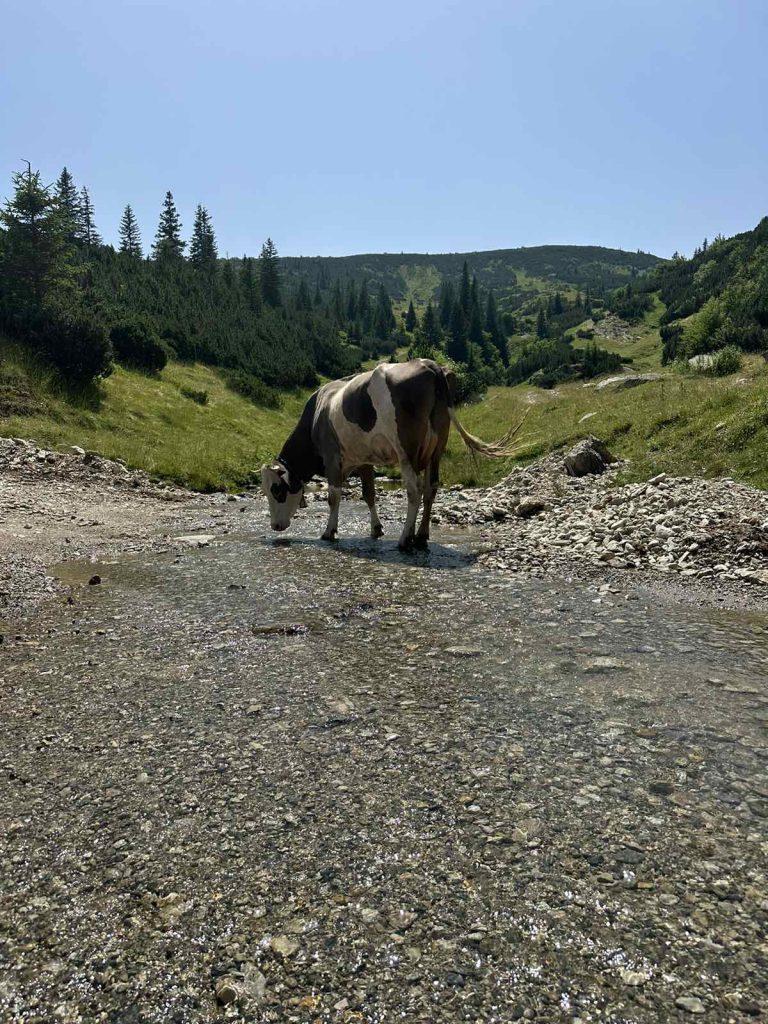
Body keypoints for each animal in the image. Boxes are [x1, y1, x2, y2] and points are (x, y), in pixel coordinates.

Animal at [262, 360, 528, 552]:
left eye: (276, 490)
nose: (275, 526)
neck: (317, 413)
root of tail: (429, 364)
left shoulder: (332, 458)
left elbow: (333, 497)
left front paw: (329, 532)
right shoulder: (364, 460)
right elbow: (369, 494)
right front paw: (376, 529)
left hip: (406, 451)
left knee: (414, 490)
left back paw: (404, 539)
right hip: (437, 449)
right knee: (431, 488)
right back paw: (420, 537)